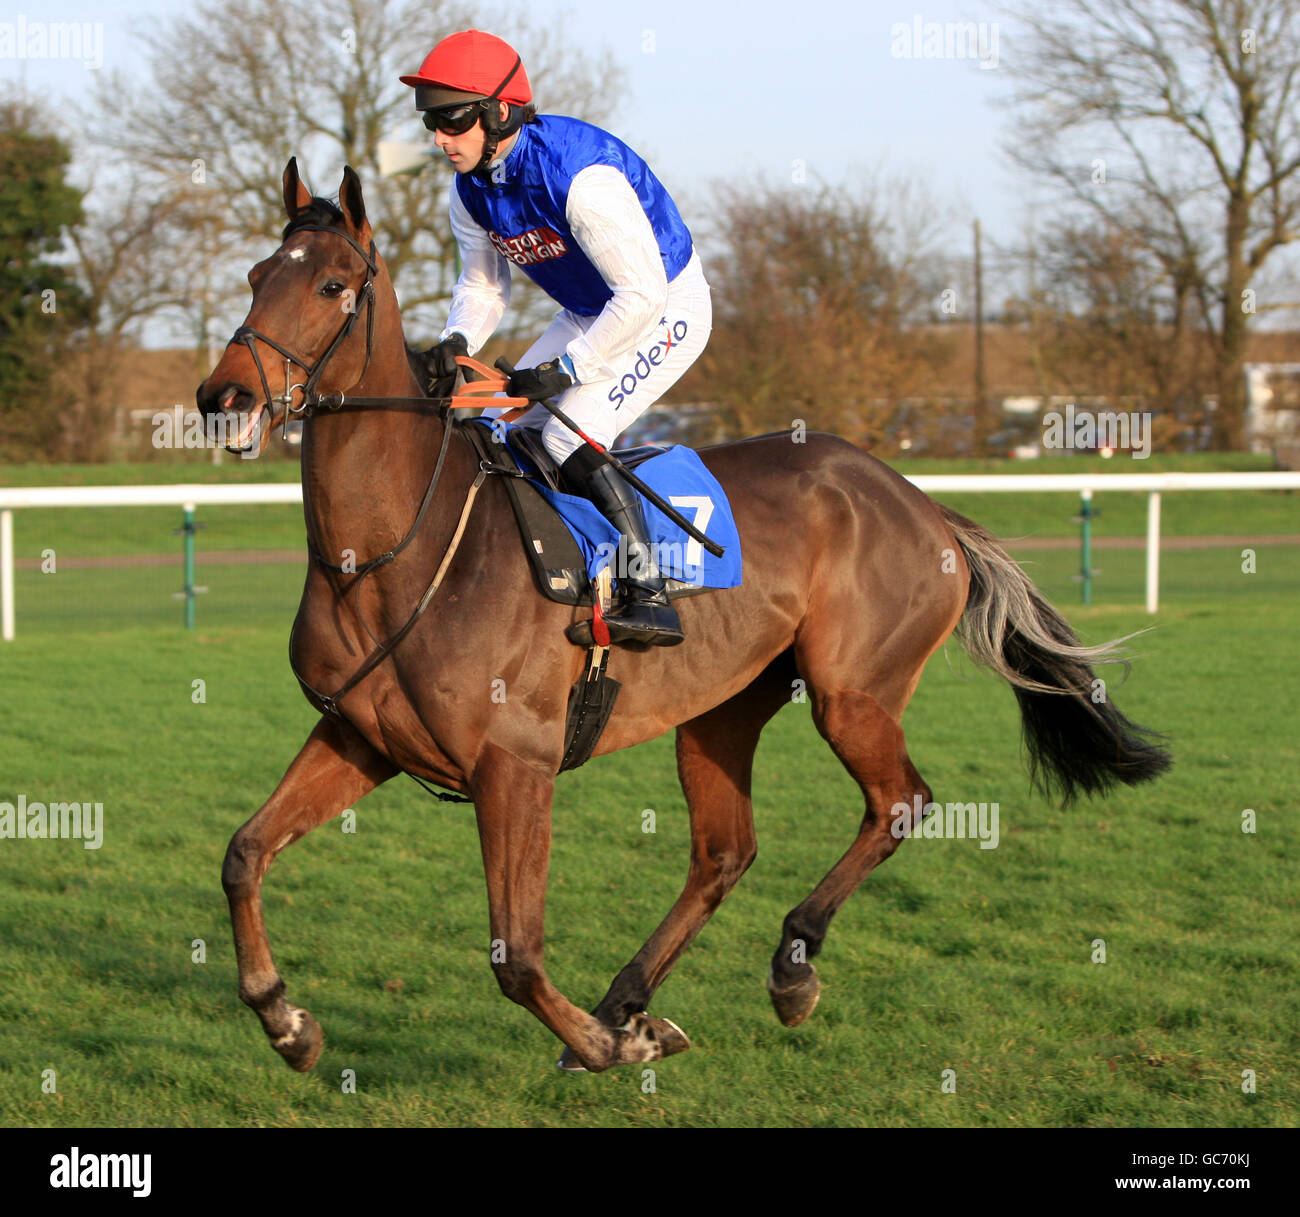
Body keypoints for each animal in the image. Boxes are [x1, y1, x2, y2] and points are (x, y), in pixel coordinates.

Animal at [197, 161, 1175, 1076]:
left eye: (332, 285)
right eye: (254, 276)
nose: (223, 398)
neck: (395, 550)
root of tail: (923, 504)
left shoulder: (515, 765)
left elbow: (516, 954)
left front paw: (600, 1044)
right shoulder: (363, 737)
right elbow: (244, 852)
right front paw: (286, 1020)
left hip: (851, 692)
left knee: (899, 803)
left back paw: (786, 967)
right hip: (722, 706)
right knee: (723, 851)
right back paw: (630, 999)